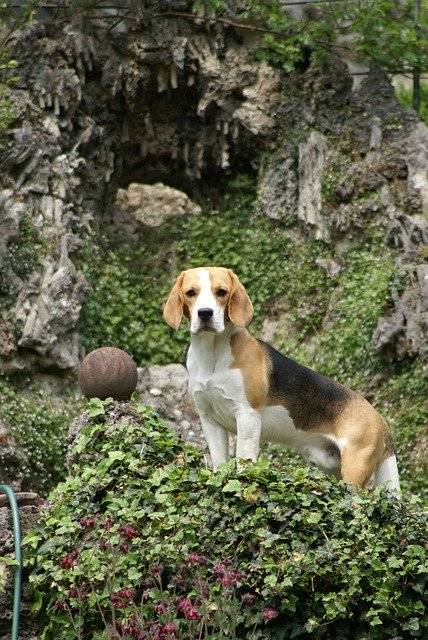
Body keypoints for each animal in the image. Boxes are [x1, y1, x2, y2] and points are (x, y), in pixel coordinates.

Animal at [164, 268, 402, 492]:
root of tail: (380, 418)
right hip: (333, 466)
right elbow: (219, 461)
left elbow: (244, 458)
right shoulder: (209, 419)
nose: (205, 313)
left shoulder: (247, 414)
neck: (211, 352)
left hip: (355, 468)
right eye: (191, 293)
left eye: (221, 292)